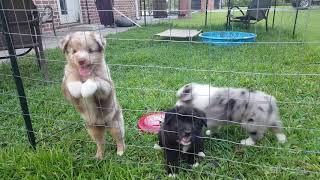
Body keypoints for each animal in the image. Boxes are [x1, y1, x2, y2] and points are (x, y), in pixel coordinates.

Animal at [60, 31, 125, 160]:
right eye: (74, 51)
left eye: (90, 50)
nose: (81, 60)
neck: (85, 75)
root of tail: (102, 124)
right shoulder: (66, 82)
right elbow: (71, 79)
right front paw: (77, 88)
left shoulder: (106, 85)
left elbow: (95, 80)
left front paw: (85, 89)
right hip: (93, 129)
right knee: (100, 143)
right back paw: (99, 156)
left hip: (115, 124)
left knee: (120, 139)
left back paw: (120, 152)